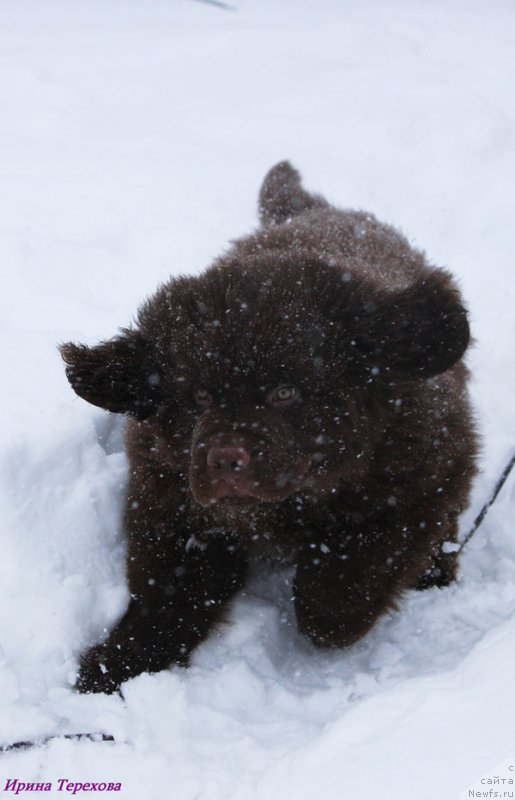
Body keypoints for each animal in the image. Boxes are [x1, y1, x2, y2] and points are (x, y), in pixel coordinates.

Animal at [61, 161, 480, 692]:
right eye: (200, 395)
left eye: (284, 392)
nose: (225, 459)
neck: (289, 503)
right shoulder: (174, 502)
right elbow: (166, 597)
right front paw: (113, 668)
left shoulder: (419, 483)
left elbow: (335, 601)